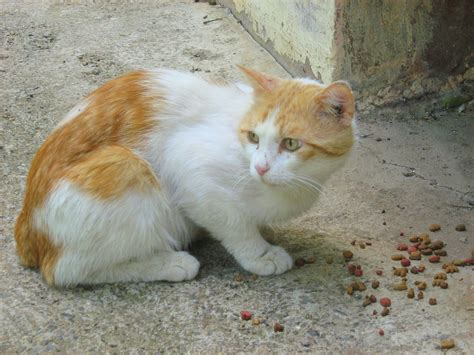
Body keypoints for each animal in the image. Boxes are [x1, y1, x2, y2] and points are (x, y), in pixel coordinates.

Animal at [14, 65, 356, 288]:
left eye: (291, 144)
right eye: (254, 137)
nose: (261, 167)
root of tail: (26, 225)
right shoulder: (191, 171)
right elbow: (234, 224)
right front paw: (259, 253)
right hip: (126, 166)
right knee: (66, 270)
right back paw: (168, 262)